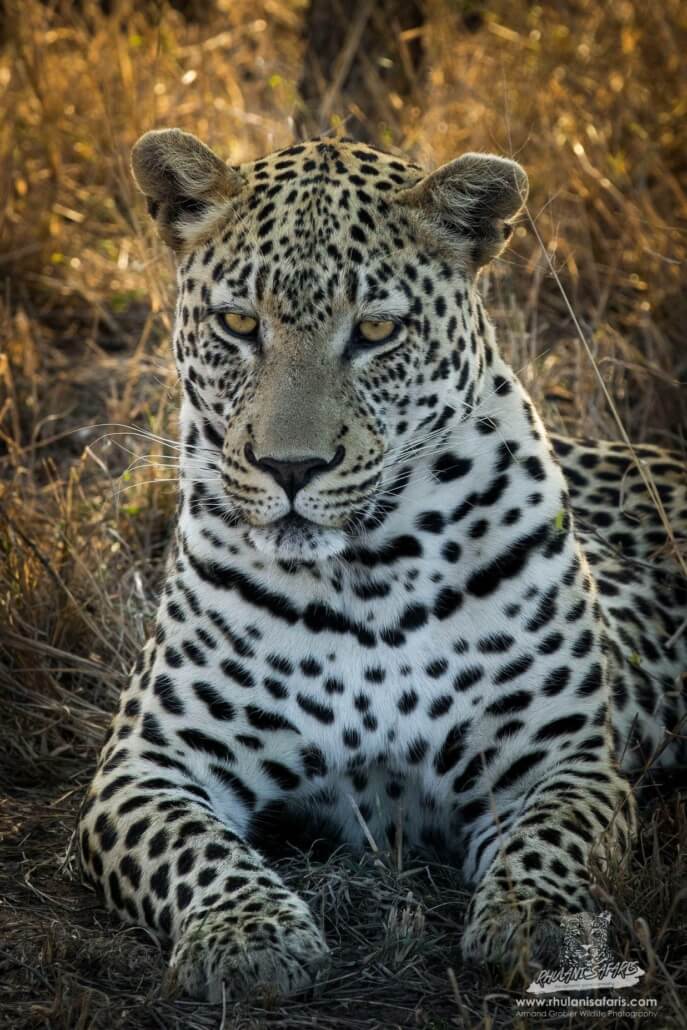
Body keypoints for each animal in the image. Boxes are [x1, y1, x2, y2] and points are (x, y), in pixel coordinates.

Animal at [78, 129, 687, 1003]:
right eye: (238, 323)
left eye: (374, 332)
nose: (289, 468)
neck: (367, 573)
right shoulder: (147, 765)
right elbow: (196, 851)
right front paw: (249, 934)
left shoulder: (561, 764)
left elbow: (551, 845)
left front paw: (548, 931)